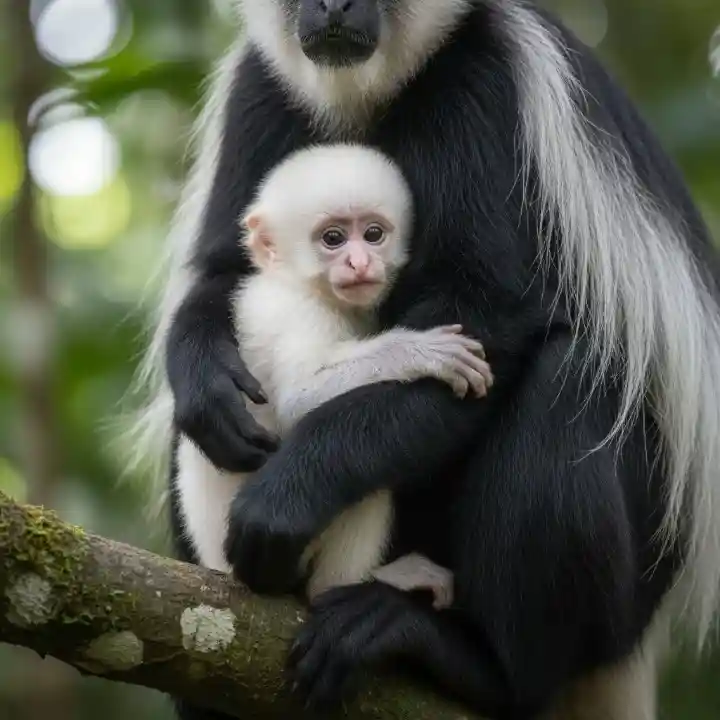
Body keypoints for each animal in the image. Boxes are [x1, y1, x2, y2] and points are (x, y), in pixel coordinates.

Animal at [175, 143, 492, 607]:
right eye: (333, 239)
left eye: (374, 234)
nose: (359, 263)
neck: (296, 282)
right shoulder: (299, 313)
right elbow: (298, 396)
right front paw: (422, 353)